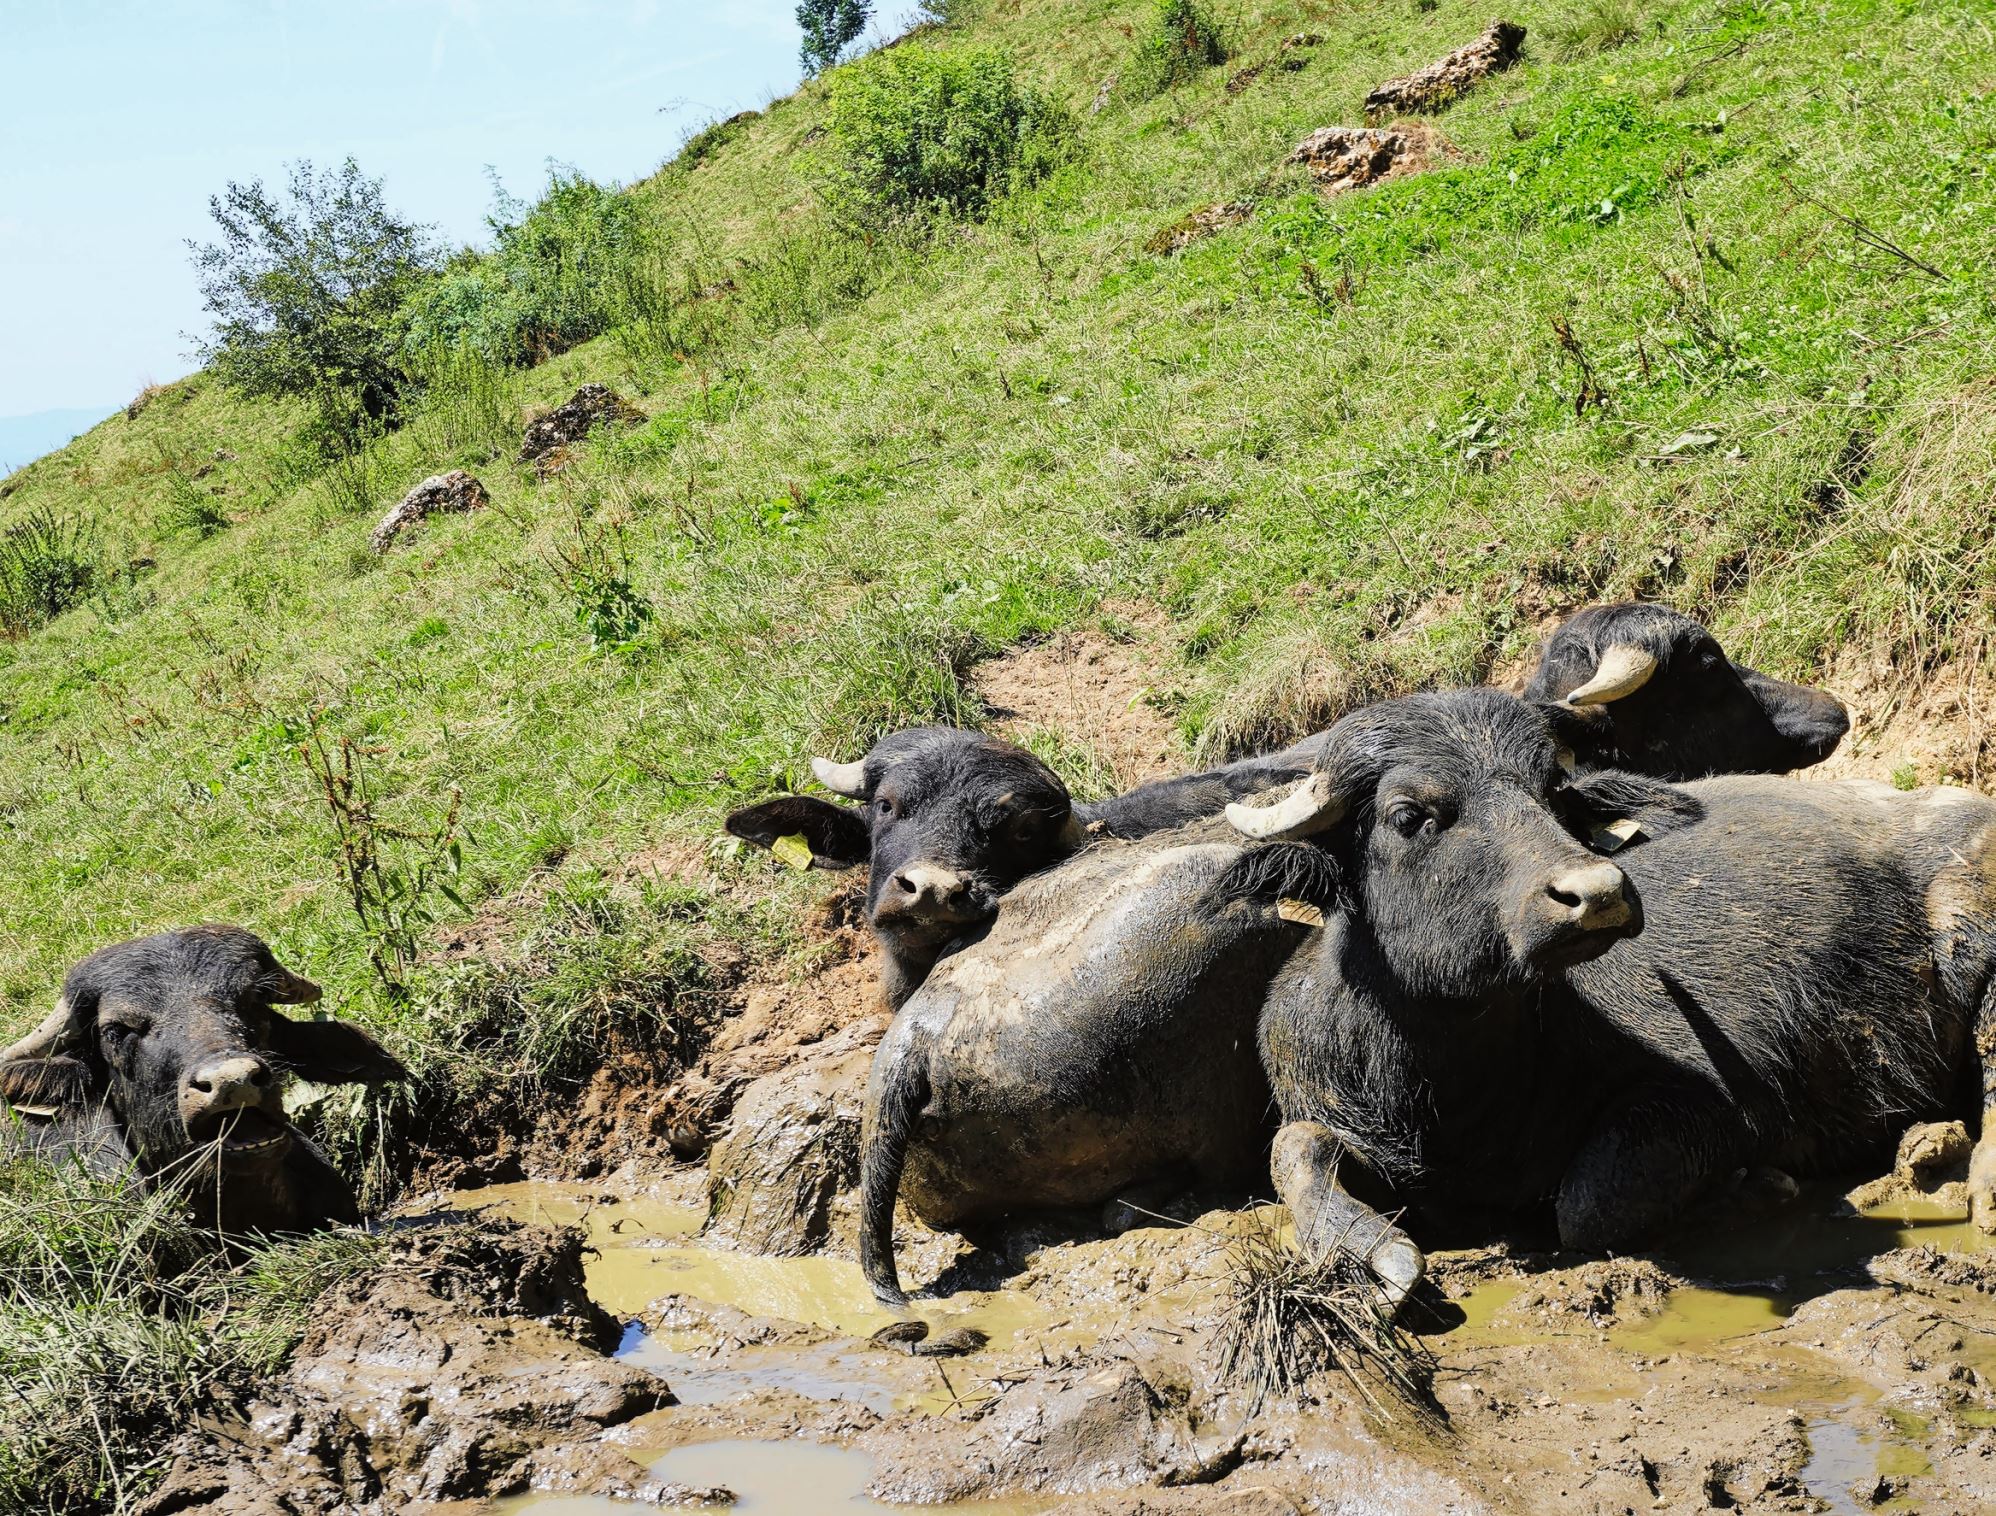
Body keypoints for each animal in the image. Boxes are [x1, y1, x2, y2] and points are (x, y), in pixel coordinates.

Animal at [1213, 694, 1996, 1308]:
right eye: (1410, 815)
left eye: (1555, 794)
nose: (1598, 893)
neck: (1456, 1088)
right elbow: (1296, 1145)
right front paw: (1368, 1251)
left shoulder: (1713, 1105)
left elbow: (1587, 1207)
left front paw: (1753, 1186)